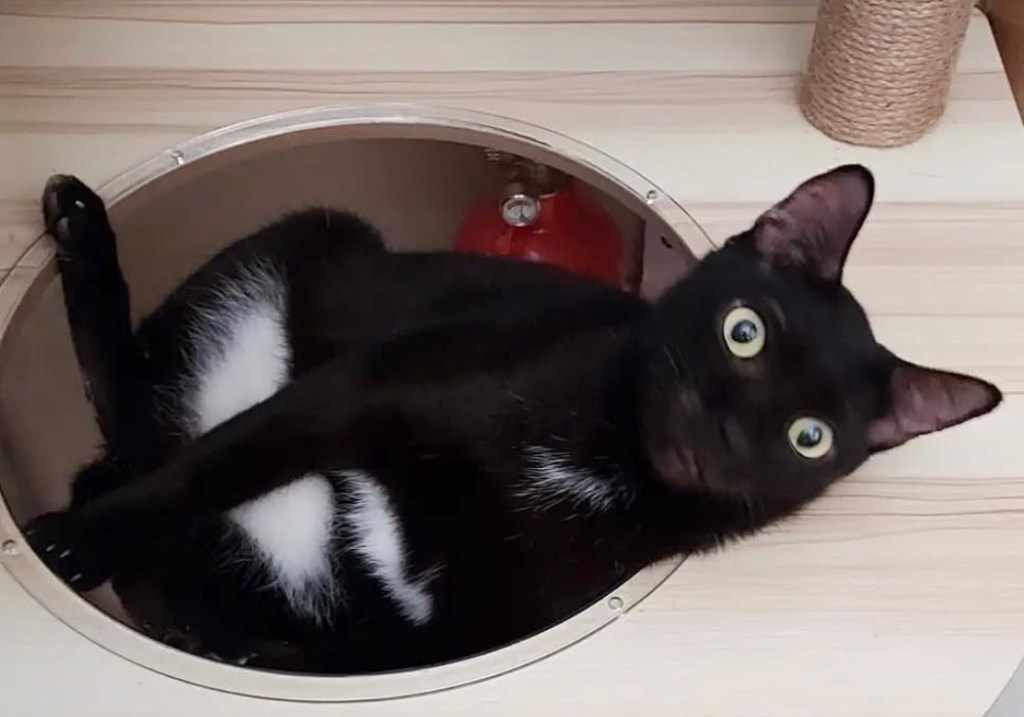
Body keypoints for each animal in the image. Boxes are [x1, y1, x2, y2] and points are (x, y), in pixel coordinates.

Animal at [22, 165, 1000, 674]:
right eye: (744, 331)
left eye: (810, 437)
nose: (722, 432)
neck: (604, 459)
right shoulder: (370, 386)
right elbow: (214, 467)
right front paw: (77, 541)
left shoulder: (475, 625)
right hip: (306, 247)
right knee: (140, 415)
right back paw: (79, 228)